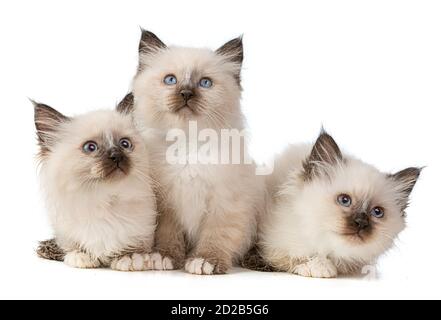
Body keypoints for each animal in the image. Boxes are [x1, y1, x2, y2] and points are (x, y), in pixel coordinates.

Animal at [34, 94, 158, 272]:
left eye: (125, 144)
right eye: (90, 147)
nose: (116, 155)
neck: (103, 198)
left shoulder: (145, 233)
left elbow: (135, 248)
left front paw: (128, 258)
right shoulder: (66, 233)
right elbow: (74, 247)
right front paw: (81, 257)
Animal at [131, 29, 264, 276]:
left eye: (205, 83)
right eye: (170, 80)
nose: (185, 93)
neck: (188, 144)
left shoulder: (224, 201)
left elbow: (216, 236)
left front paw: (205, 261)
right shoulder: (167, 204)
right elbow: (168, 236)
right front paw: (164, 257)